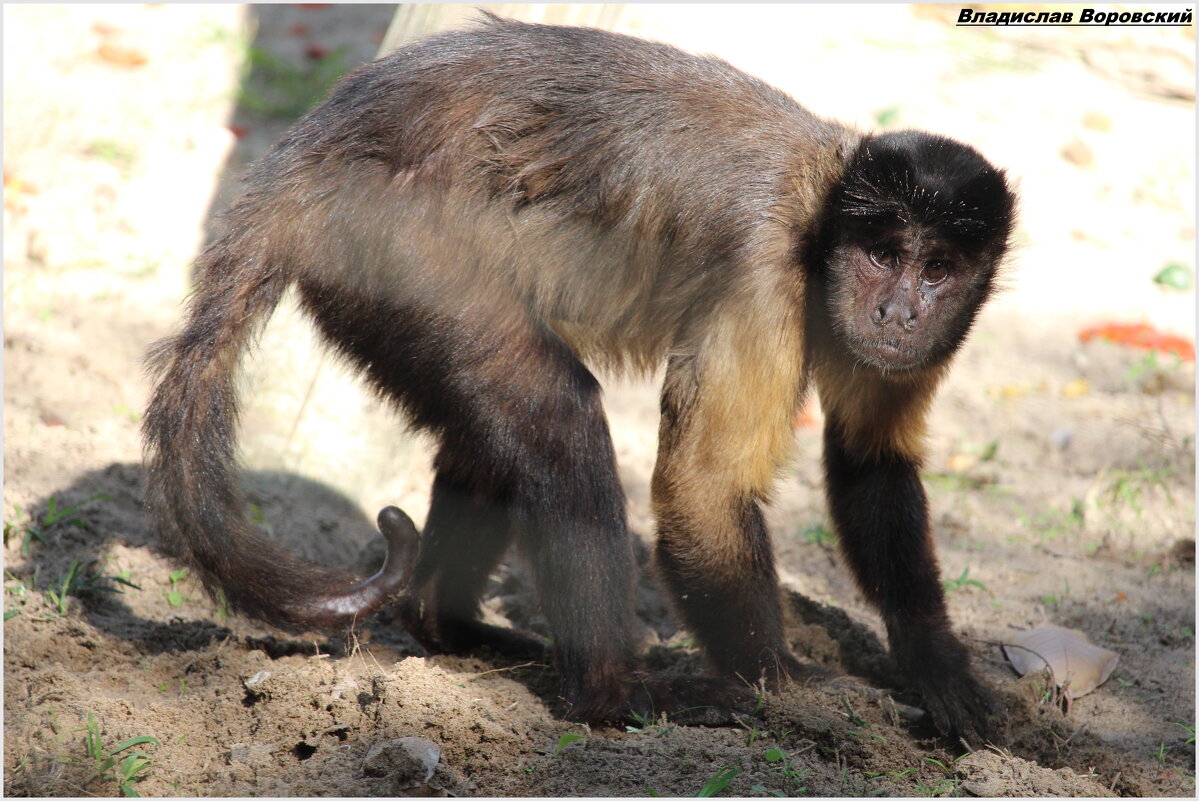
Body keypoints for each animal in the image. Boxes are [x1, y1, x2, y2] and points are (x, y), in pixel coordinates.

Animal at [145, 15, 1016, 743]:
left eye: (936, 270)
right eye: (882, 254)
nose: (899, 311)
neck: (824, 212)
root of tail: (317, 149)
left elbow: (870, 461)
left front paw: (938, 668)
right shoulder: (764, 273)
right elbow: (701, 489)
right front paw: (785, 685)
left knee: (492, 439)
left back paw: (449, 627)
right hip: (399, 248)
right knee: (558, 420)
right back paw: (611, 695)